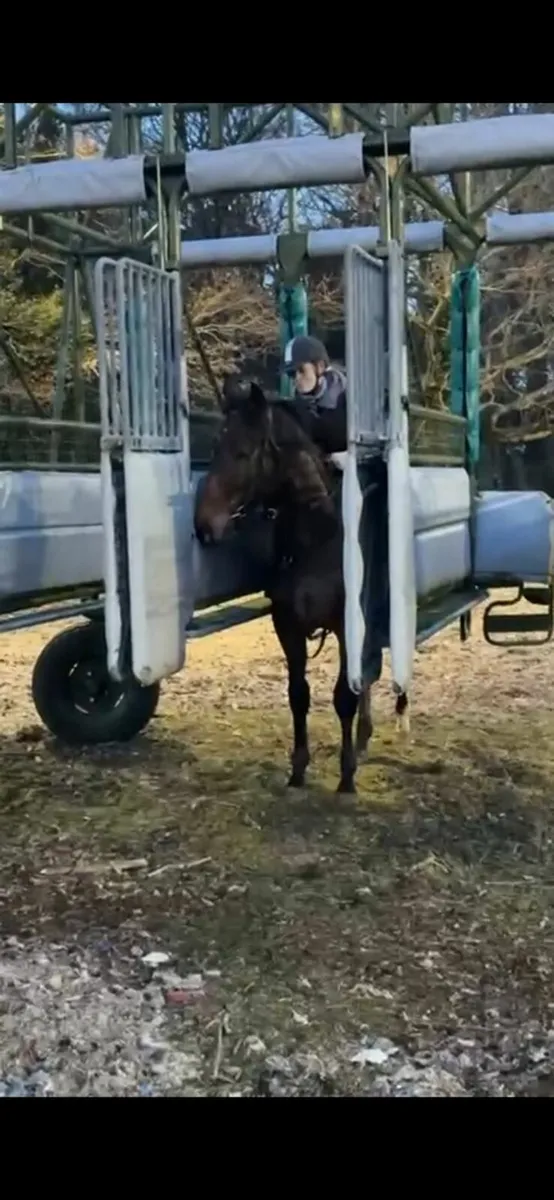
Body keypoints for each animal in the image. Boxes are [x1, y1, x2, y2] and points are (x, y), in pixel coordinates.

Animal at [194, 380, 405, 795]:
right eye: (214, 448)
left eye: (243, 453)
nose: (203, 525)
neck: (317, 538)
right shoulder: (287, 626)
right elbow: (298, 696)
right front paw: (297, 769)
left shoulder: (345, 627)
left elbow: (343, 697)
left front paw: (346, 776)